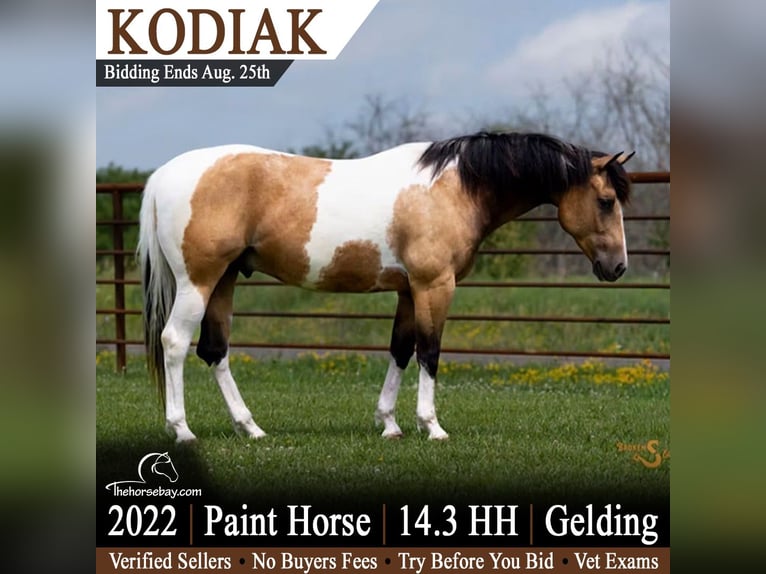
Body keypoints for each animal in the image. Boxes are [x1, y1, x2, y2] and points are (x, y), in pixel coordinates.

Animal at [138, 131, 634, 443]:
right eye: (606, 201)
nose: (618, 267)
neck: (454, 188)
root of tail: (164, 175)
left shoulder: (408, 290)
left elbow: (400, 350)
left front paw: (389, 424)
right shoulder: (435, 285)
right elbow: (429, 352)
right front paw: (431, 426)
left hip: (223, 281)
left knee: (215, 351)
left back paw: (250, 428)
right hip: (198, 282)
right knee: (175, 343)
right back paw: (183, 431)